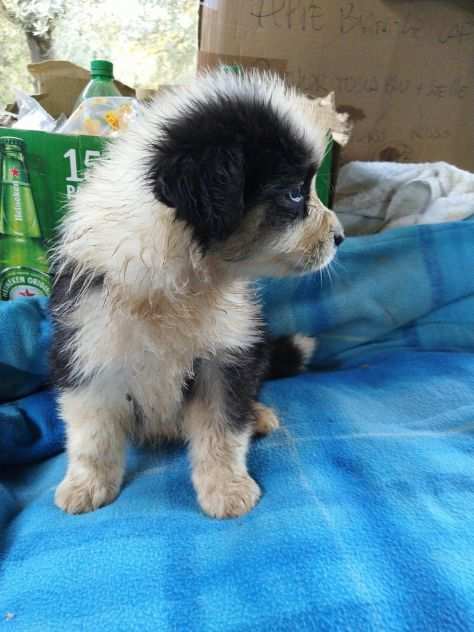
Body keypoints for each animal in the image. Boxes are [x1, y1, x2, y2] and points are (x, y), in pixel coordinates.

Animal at [50, 71, 342, 520]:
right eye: (295, 193)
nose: (341, 237)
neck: (178, 279)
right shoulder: (87, 349)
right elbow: (91, 432)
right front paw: (85, 485)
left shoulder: (227, 354)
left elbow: (222, 428)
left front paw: (227, 488)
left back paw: (258, 415)